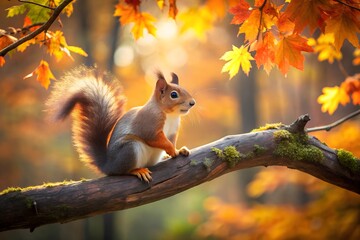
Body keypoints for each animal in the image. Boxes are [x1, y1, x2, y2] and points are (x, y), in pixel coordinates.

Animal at [47, 66, 195, 181]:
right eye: (174, 95)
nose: (192, 103)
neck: (170, 115)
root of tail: (109, 165)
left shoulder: (173, 131)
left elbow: (171, 141)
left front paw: (178, 150)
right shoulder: (149, 123)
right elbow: (155, 138)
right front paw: (171, 150)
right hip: (129, 149)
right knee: (123, 171)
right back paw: (138, 170)